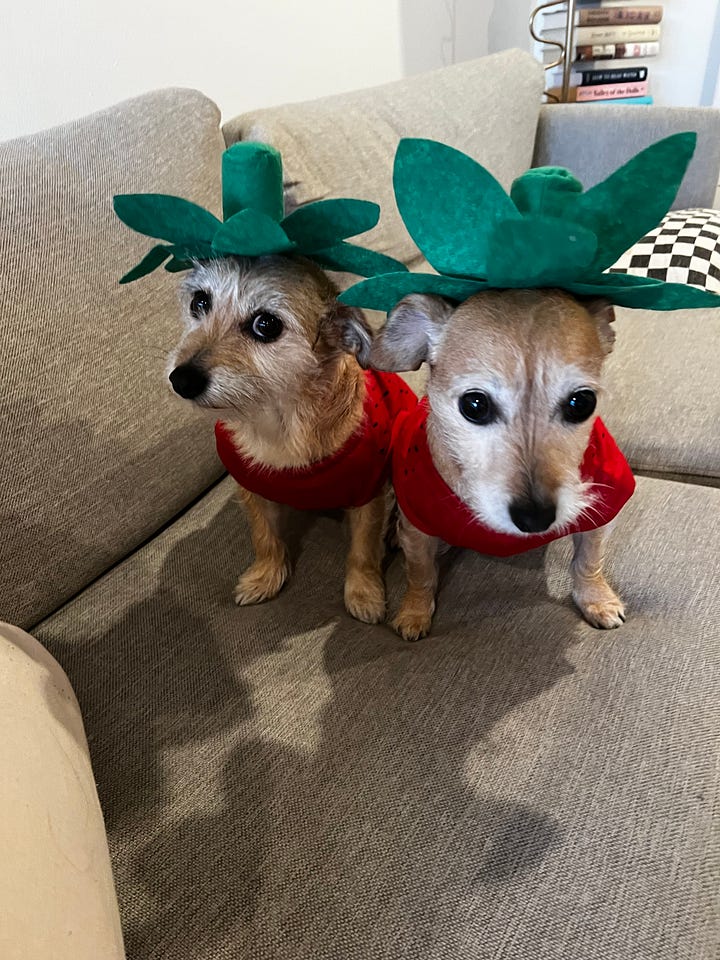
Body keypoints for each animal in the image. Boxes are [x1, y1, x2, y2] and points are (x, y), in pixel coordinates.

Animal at [167, 255, 394, 624]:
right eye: (199, 302)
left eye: (266, 324)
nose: (182, 379)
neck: (282, 422)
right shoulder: (252, 488)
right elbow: (264, 537)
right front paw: (265, 577)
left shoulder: (369, 493)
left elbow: (363, 548)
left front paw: (364, 594)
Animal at [368, 288, 632, 640]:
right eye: (474, 405)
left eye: (582, 403)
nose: (535, 518)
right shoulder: (418, 530)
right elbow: (420, 573)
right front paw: (414, 612)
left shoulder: (601, 513)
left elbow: (588, 562)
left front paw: (597, 600)